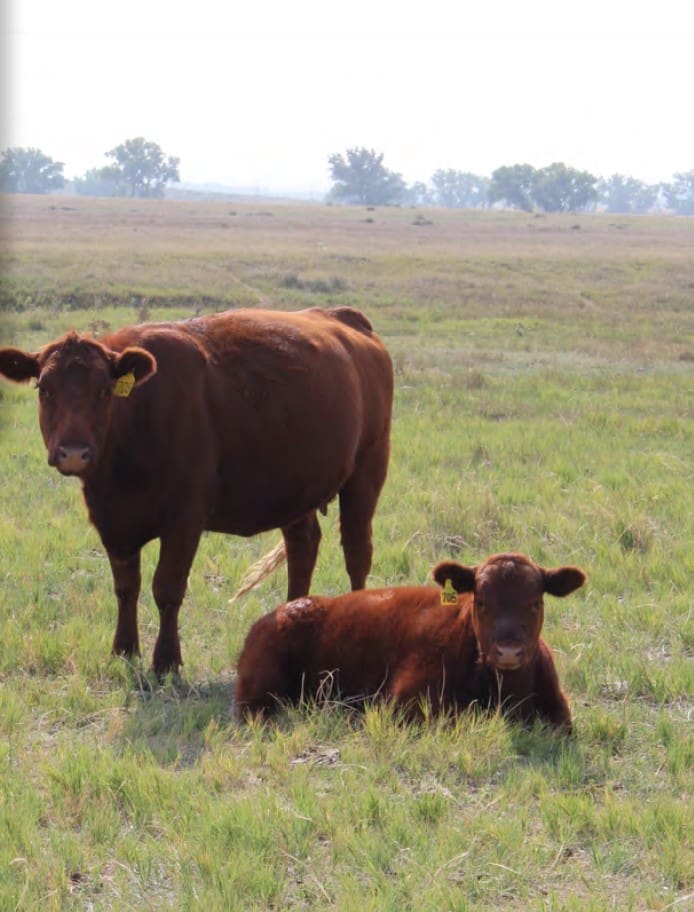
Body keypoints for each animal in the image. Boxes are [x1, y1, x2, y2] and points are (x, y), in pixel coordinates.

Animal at [0, 310, 392, 672]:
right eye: (45, 389)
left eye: (103, 390)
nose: (74, 452)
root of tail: (343, 318)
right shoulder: (113, 521)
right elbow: (126, 586)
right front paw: (123, 650)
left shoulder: (184, 521)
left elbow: (167, 588)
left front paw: (166, 660)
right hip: (295, 490)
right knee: (303, 547)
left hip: (367, 472)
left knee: (357, 553)